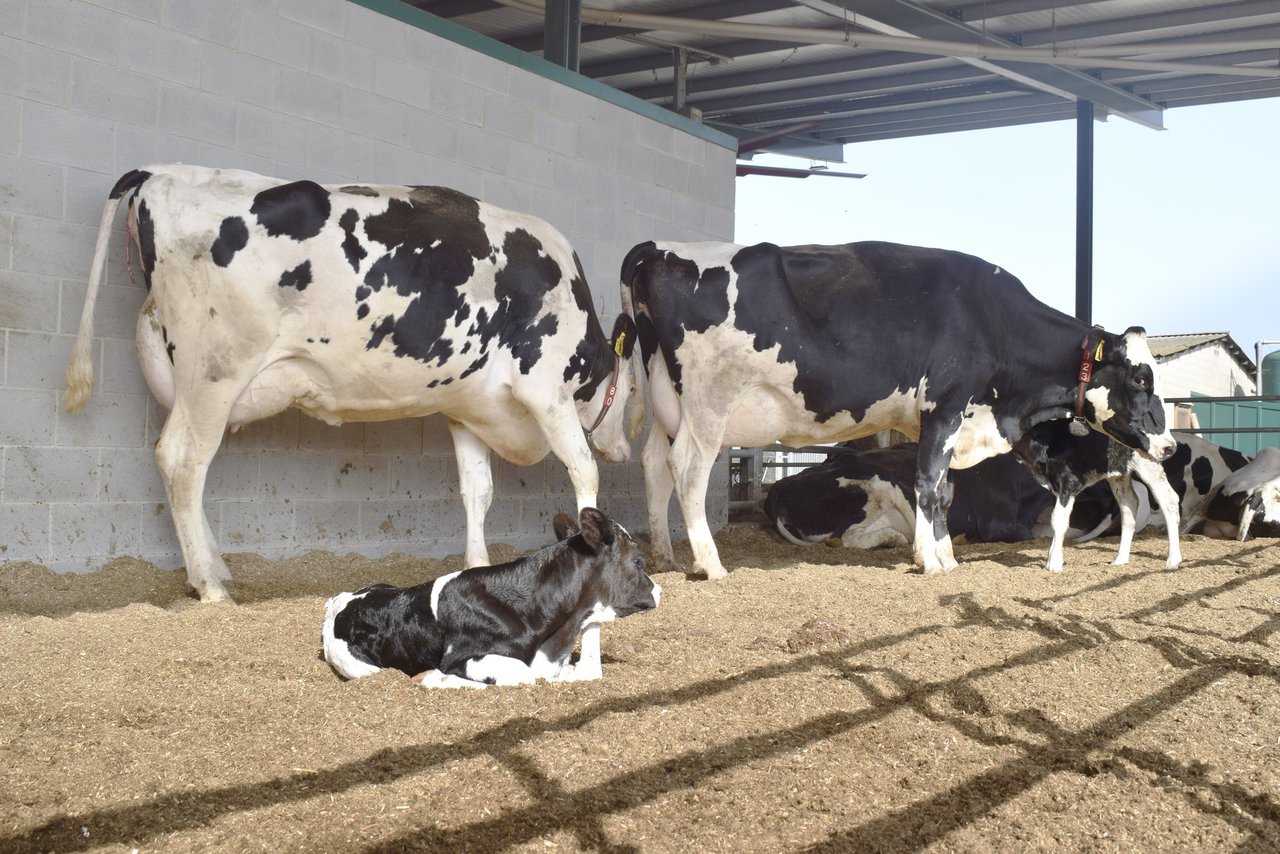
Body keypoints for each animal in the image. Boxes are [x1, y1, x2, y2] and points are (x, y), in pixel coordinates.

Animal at [63, 165, 637, 602]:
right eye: (632, 394)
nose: (626, 451)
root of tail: (160, 172)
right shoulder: (547, 392)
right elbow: (583, 472)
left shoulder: (466, 406)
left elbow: (478, 491)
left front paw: (475, 567)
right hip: (216, 369)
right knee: (183, 460)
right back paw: (210, 587)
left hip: (184, 376)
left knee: (182, 464)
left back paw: (215, 568)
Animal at [322, 507, 660, 688]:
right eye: (639, 561)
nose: (659, 590)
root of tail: (338, 601)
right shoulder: (460, 656)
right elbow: (522, 674)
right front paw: (433, 679)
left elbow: (587, 667)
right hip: (358, 667)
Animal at [620, 240, 1176, 578]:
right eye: (1141, 378)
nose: (1169, 445)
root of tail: (655, 251)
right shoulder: (945, 405)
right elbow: (929, 486)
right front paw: (930, 560)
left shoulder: (934, 421)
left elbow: (944, 491)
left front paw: (946, 555)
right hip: (708, 406)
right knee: (687, 470)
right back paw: (711, 565)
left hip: (668, 404)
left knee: (653, 465)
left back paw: (666, 558)